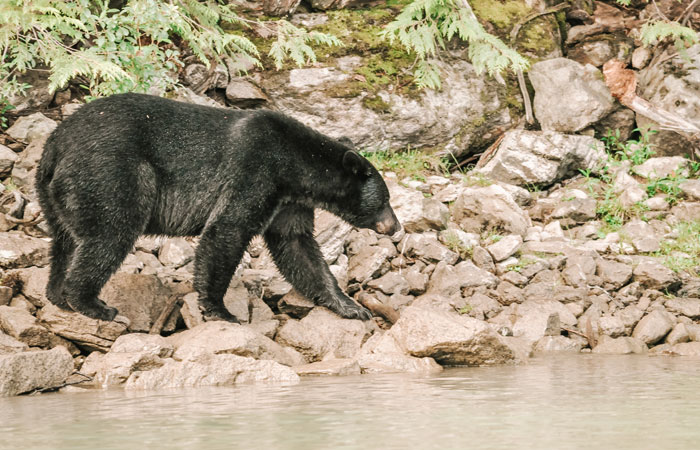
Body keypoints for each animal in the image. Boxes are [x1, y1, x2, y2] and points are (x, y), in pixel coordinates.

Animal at [37, 92, 400, 324]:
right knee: (110, 234)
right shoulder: (256, 169)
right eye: (386, 200)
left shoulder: (290, 203)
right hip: (111, 174)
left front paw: (351, 307)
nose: (395, 226)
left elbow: (298, 248)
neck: (297, 167)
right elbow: (228, 229)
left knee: (65, 242)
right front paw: (221, 310)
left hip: (54, 193)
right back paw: (93, 304)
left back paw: (57, 295)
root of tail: (55, 144)